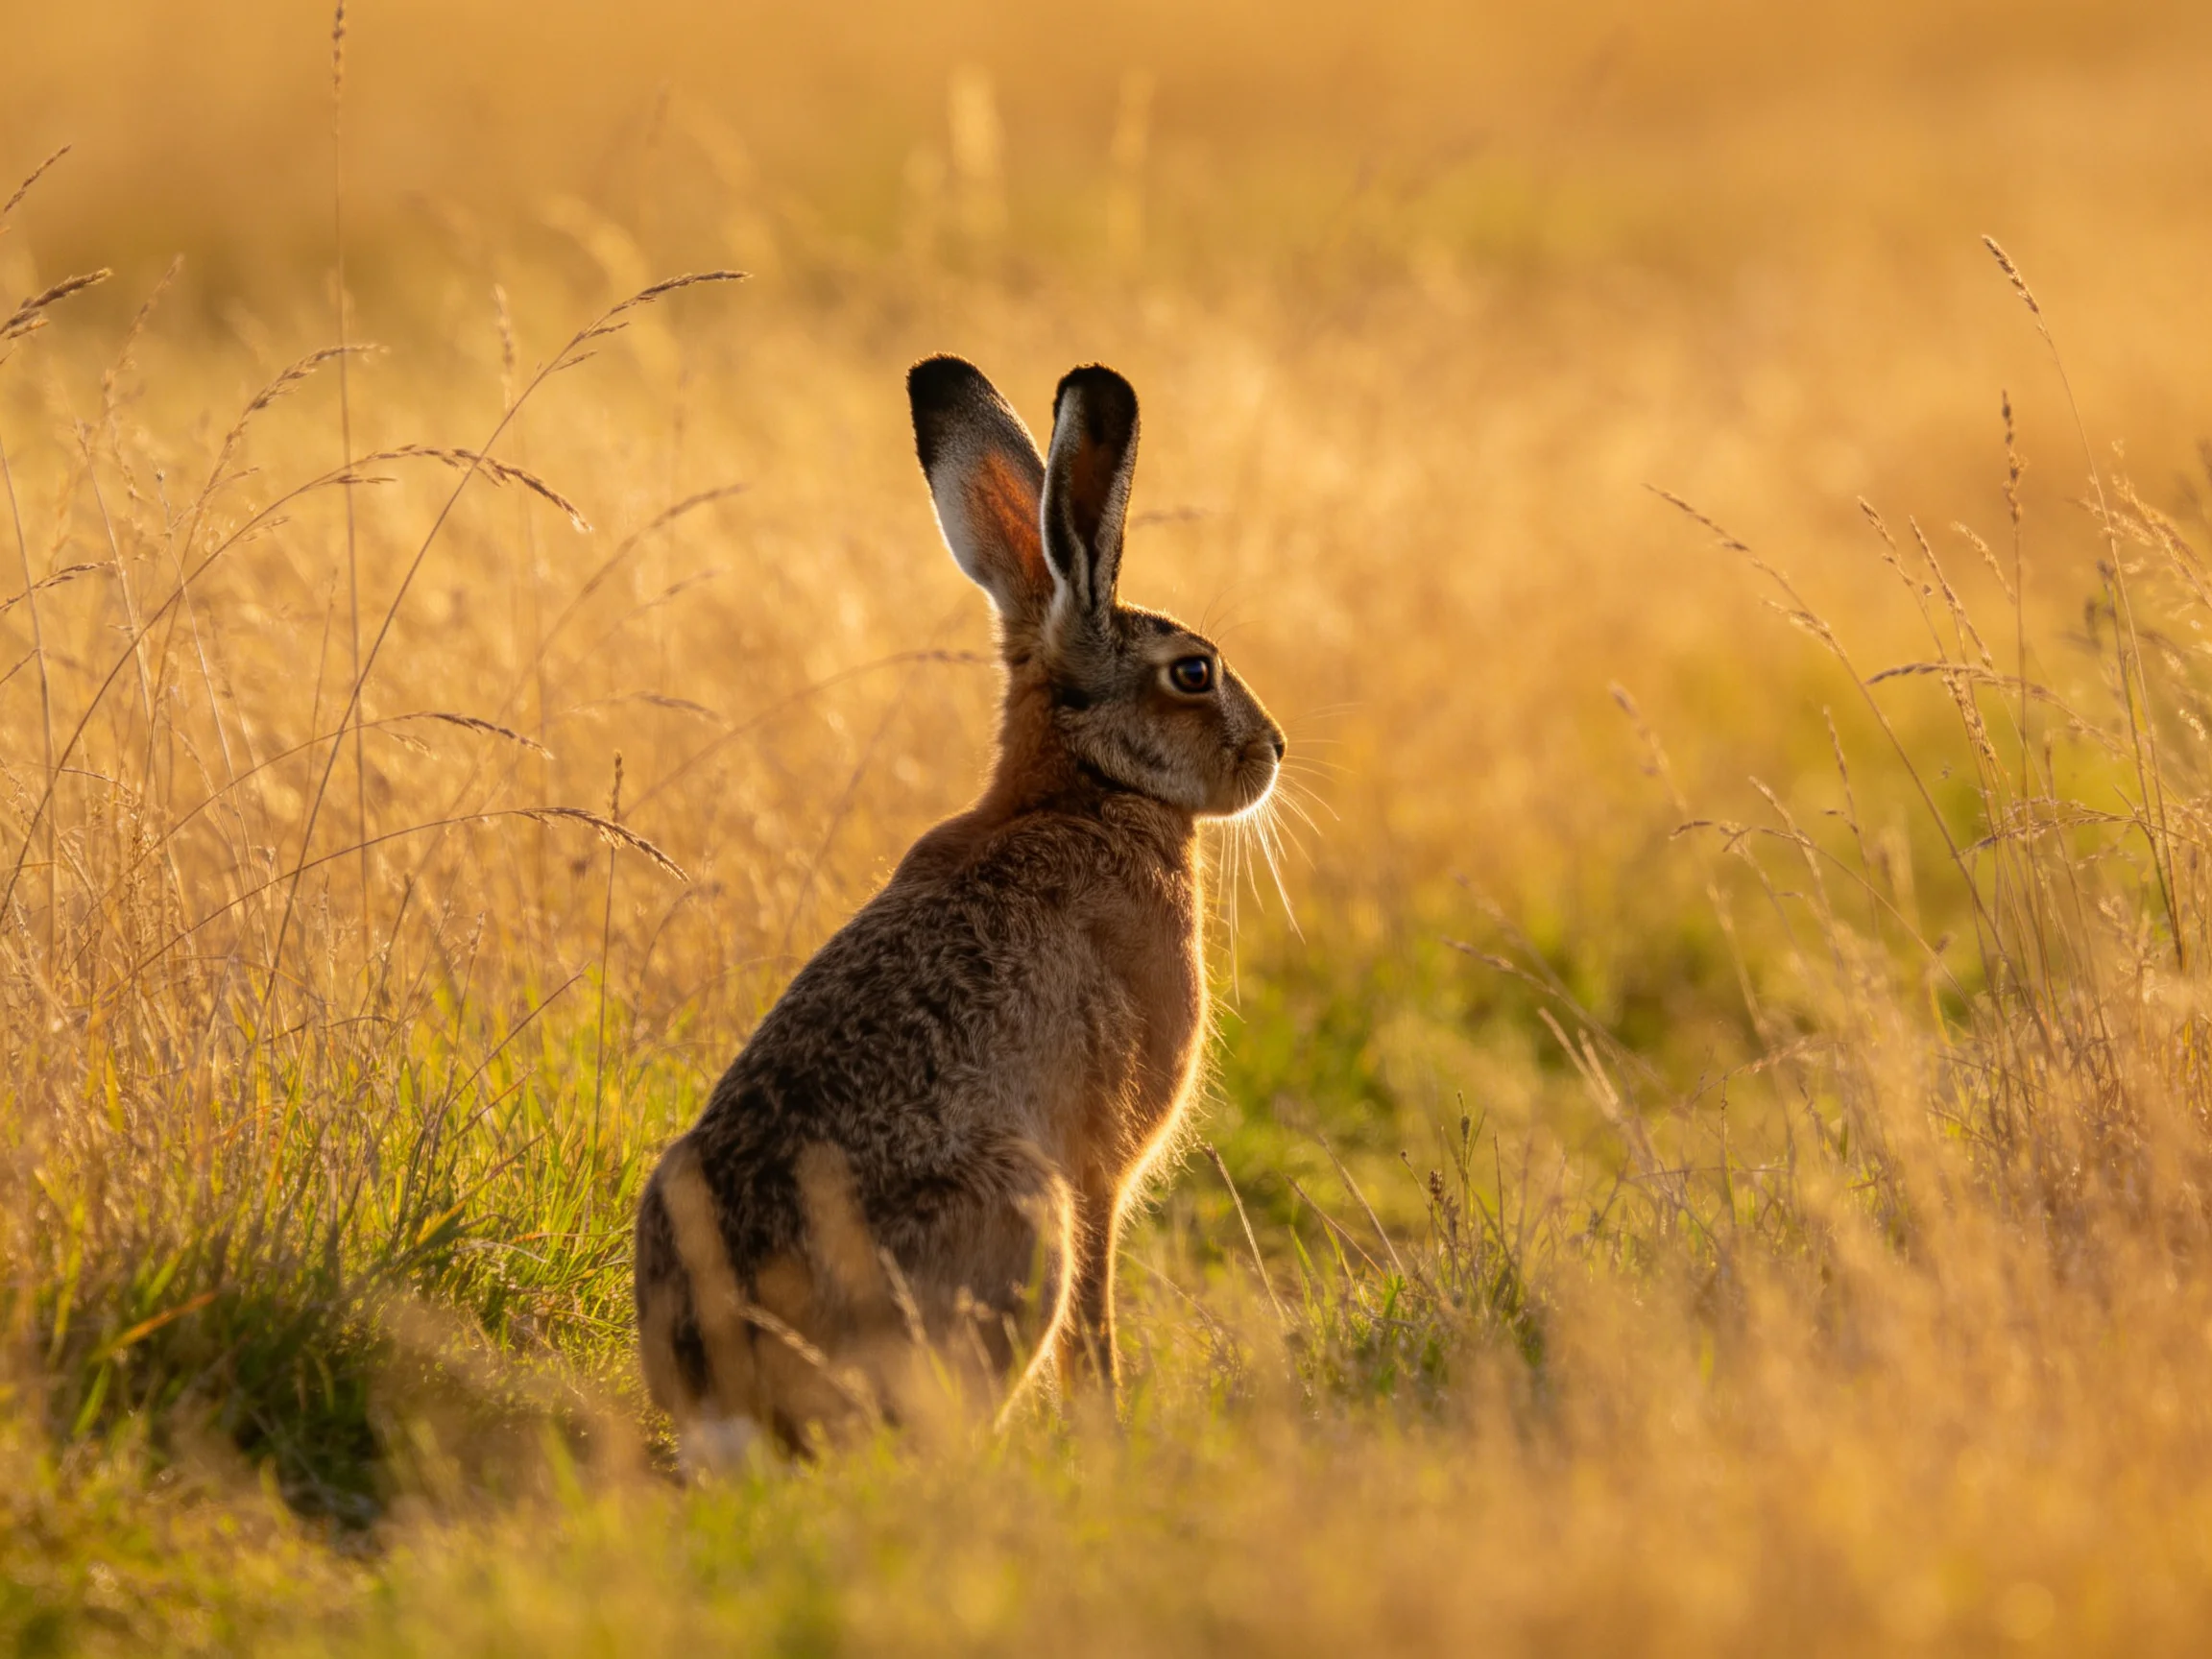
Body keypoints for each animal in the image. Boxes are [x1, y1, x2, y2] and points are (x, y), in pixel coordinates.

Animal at [633, 356, 1284, 1461]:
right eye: (1194, 672)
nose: (1274, 749)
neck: (1086, 788)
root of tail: (740, 1395)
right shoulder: (1098, 1171)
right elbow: (1096, 1318)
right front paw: (1110, 1430)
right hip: (1028, 1212)